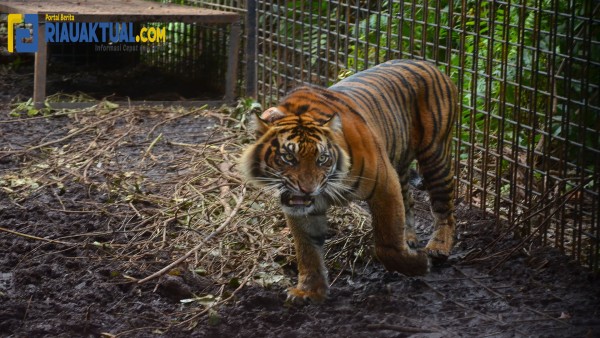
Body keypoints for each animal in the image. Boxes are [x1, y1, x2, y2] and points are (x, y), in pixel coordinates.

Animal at [239, 59, 454, 302]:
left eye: (321, 158)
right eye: (287, 157)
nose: (307, 189)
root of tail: (428, 63)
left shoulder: (384, 183)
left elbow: (386, 241)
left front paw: (417, 265)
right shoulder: (300, 208)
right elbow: (307, 249)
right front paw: (308, 290)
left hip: (434, 155)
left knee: (443, 206)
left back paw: (438, 246)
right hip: (399, 161)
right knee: (408, 200)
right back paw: (409, 238)